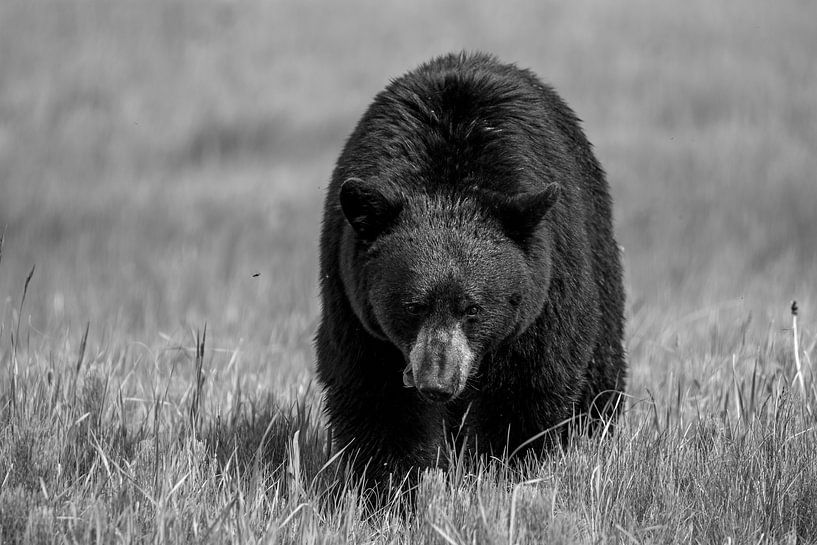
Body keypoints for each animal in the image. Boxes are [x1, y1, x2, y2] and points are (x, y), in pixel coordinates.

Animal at [316, 52, 626, 487]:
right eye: (412, 306)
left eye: (473, 309)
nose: (437, 382)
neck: (448, 185)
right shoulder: (353, 304)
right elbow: (375, 394)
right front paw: (394, 486)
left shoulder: (543, 295)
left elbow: (528, 384)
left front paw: (502, 474)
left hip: (597, 249)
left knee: (601, 362)